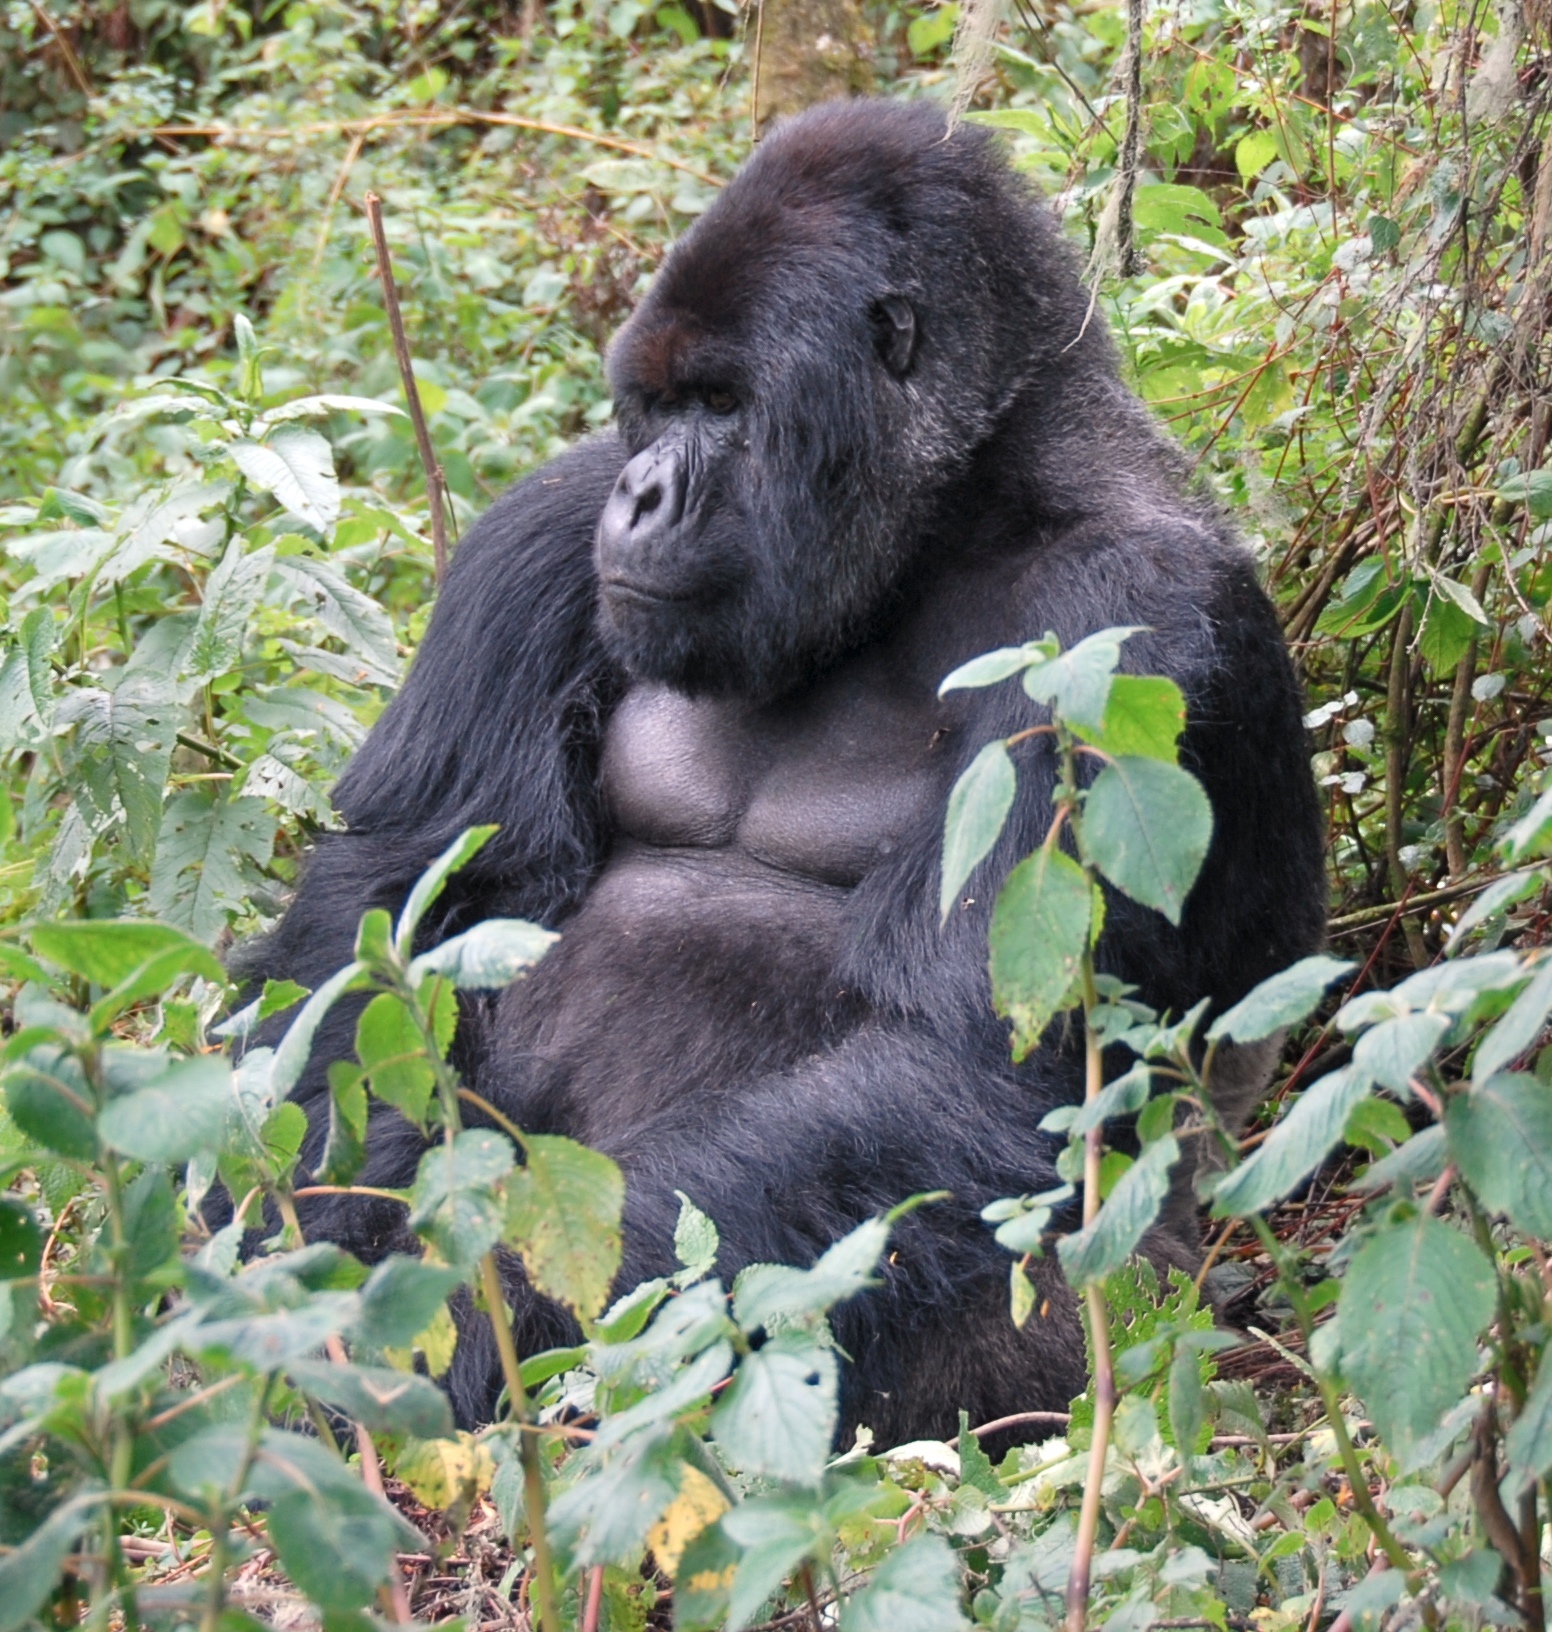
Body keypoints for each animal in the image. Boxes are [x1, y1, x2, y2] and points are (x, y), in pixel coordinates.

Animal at [248, 102, 1331, 1449]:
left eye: (722, 402)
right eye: (651, 406)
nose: (639, 494)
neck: (949, 522)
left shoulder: (1132, 626)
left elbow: (975, 1062)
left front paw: (460, 1319)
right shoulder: (541, 529)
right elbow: (389, 902)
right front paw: (305, 1259)